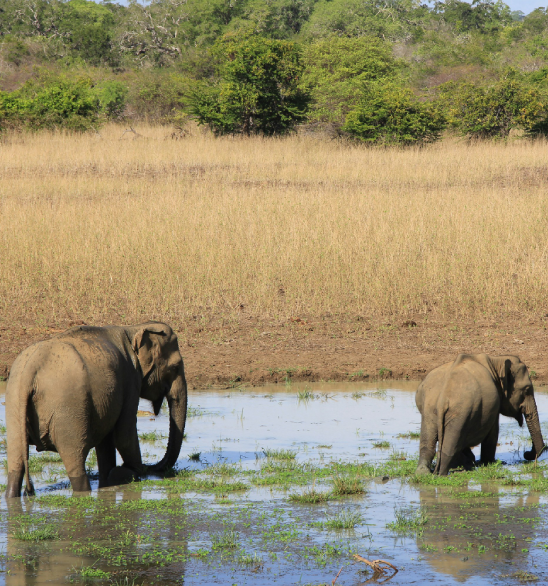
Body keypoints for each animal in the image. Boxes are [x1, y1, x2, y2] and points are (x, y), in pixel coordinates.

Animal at [4, 322, 188, 496]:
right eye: (175, 367)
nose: (150, 467)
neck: (133, 329)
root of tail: (31, 369)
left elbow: (107, 440)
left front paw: (110, 479)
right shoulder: (130, 378)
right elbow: (124, 434)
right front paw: (128, 472)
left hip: (14, 402)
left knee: (16, 460)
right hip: (68, 410)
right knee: (75, 461)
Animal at [416, 352, 544, 474]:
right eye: (527, 390)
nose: (526, 454)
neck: (496, 361)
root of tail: (442, 399)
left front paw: (470, 461)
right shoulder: (494, 405)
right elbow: (492, 433)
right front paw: (489, 463)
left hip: (430, 409)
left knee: (429, 442)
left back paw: (424, 473)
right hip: (459, 412)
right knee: (450, 445)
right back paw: (442, 473)